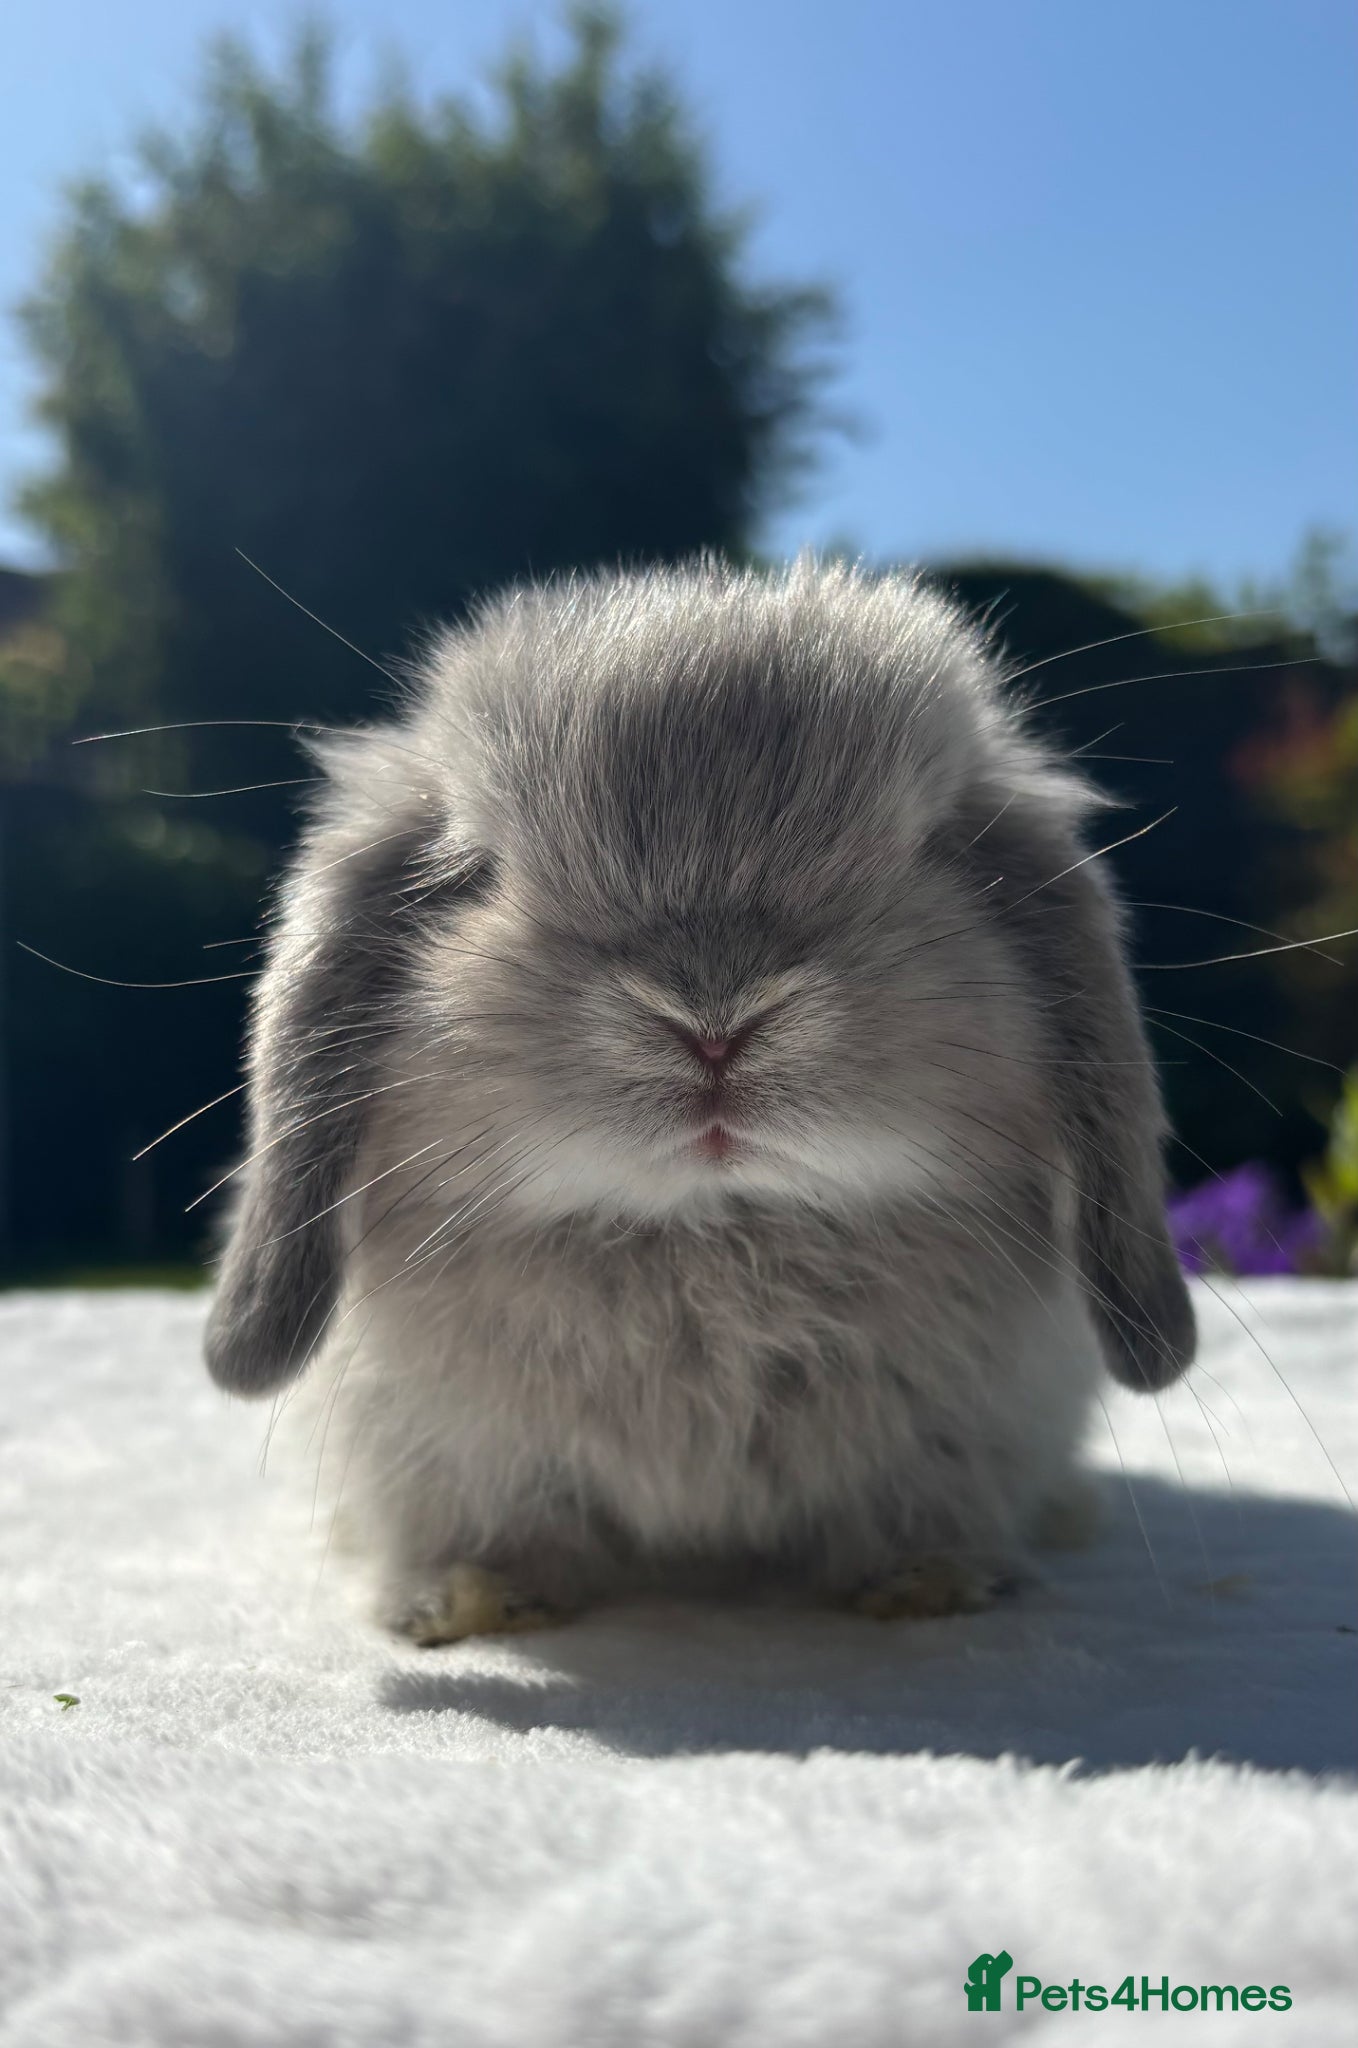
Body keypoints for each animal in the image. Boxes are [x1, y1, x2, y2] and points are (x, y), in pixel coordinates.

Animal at [204, 558, 1196, 1643]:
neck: (709, 1226)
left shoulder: (956, 1444)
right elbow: (485, 1530)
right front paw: (471, 1599)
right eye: (473, 872)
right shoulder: (443, 1457)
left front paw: (927, 1584)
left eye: (936, 848)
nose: (713, 1018)